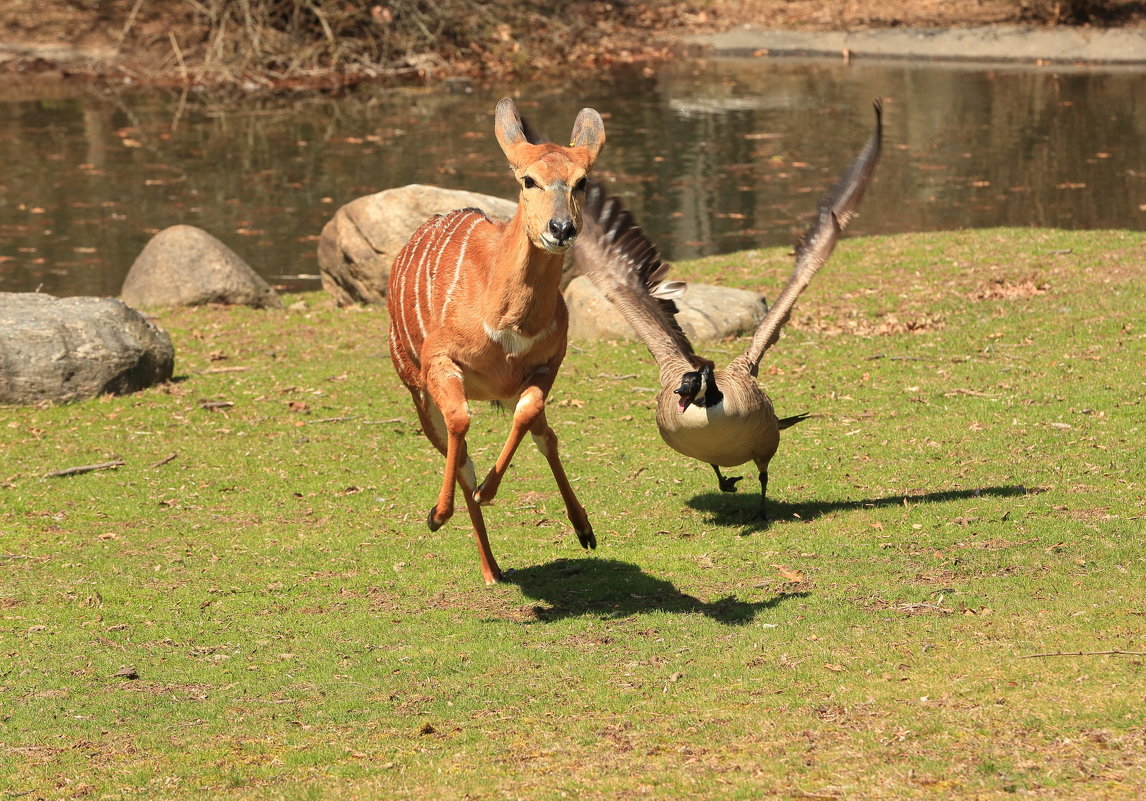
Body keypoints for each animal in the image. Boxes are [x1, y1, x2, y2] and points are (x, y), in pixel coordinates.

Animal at [387, 100, 605, 586]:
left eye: (582, 181)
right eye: (528, 179)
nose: (561, 228)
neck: (507, 321)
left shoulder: (547, 363)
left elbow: (528, 415)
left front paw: (490, 489)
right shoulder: (441, 362)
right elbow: (460, 424)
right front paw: (438, 513)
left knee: (546, 434)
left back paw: (582, 530)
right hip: (415, 387)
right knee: (459, 449)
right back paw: (489, 567)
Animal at [577, 100, 880, 522]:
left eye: (695, 384)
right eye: (683, 383)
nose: (681, 395)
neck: (710, 416)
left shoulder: (759, 447)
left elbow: (817, 248)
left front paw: (760, 511)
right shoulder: (709, 451)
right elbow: (717, 470)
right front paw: (728, 483)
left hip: (767, 439)